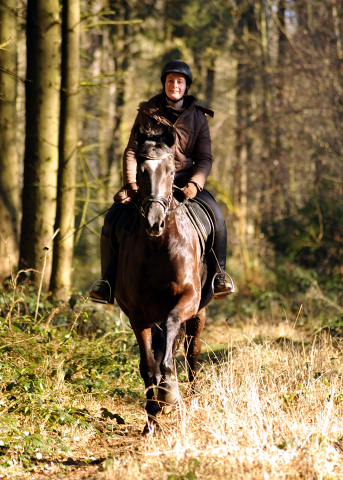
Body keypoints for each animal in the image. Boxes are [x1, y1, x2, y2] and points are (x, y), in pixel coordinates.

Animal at [114, 124, 214, 436]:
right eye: (141, 170)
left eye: (170, 171)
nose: (154, 223)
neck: (158, 247)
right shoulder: (137, 314)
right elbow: (148, 365)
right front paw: (151, 418)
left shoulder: (188, 299)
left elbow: (172, 333)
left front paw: (169, 391)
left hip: (200, 312)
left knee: (192, 352)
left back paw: (190, 397)